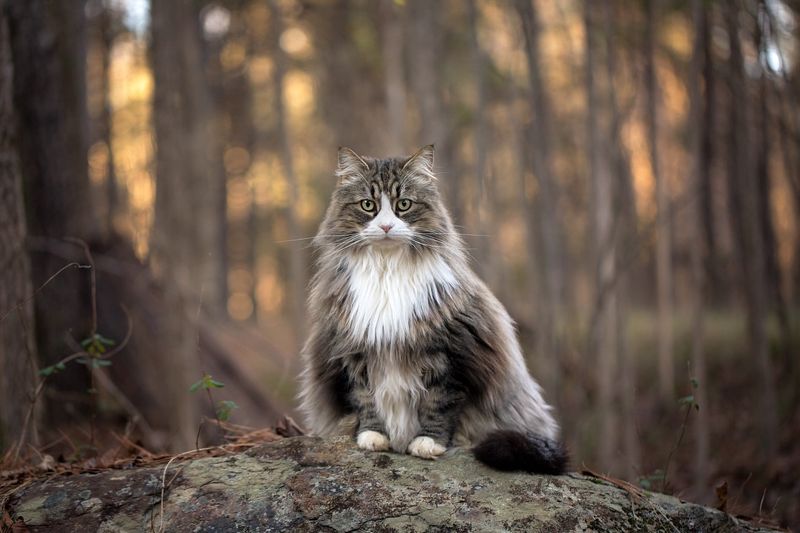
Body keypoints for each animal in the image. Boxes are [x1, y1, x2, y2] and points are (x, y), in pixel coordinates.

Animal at [296, 143, 564, 472]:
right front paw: (373, 437)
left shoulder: (452, 354)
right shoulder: (352, 352)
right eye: (368, 205)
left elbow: (440, 405)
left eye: (404, 204)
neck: (388, 272)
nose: (386, 226)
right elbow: (365, 400)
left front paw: (427, 443)